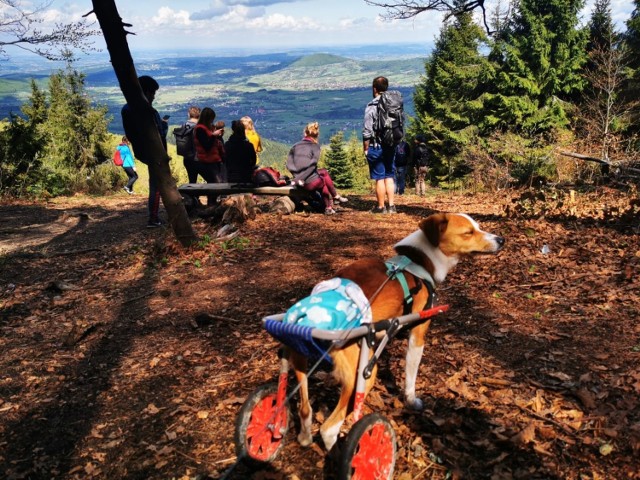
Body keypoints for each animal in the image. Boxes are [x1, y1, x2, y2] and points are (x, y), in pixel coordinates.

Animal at [288, 212, 504, 452]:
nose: (501, 240)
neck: (420, 261)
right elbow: (411, 377)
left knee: (305, 410)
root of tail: (311, 318)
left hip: (302, 366)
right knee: (328, 429)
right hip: (361, 375)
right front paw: (411, 400)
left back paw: (304, 436)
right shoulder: (417, 335)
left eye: (478, 227)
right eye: (469, 232)